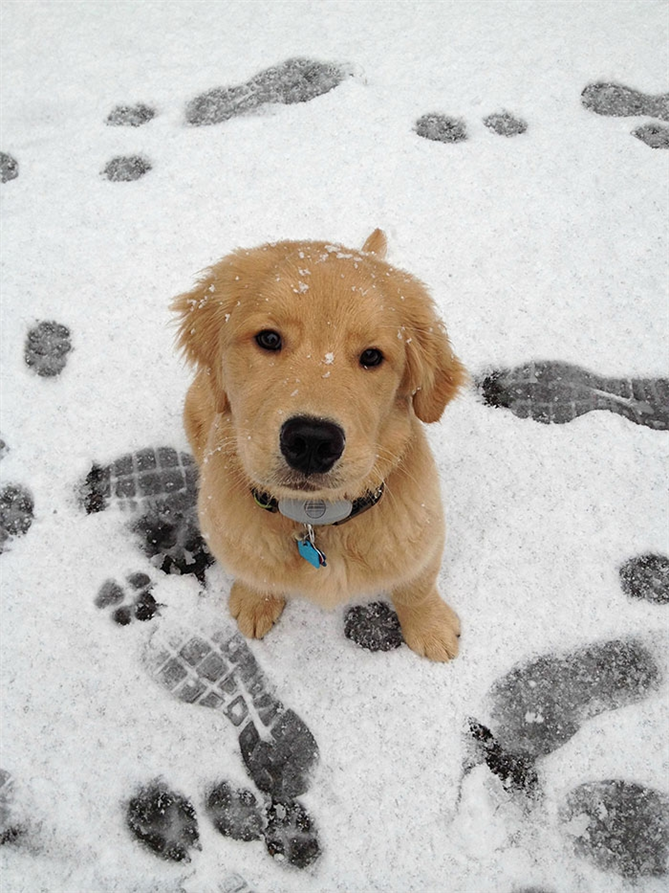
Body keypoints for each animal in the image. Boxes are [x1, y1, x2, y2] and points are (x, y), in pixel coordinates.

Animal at [172, 229, 466, 661]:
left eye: (372, 356)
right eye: (269, 338)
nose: (311, 440)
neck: (316, 518)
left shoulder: (422, 535)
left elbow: (417, 585)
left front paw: (431, 628)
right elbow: (253, 572)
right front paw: (255, 603)